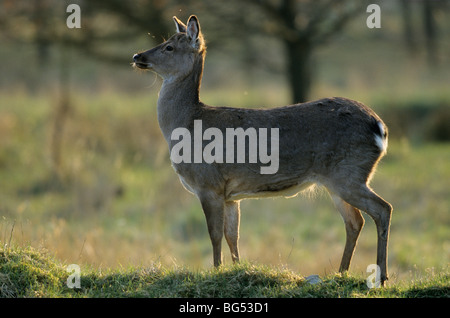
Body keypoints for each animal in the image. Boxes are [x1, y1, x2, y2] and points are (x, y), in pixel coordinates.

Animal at [132, 14, 392, 286]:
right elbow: (232, 234)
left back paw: (382, 276)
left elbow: (214, 234)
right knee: (355, 221)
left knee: (382, 209)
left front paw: (215, 270)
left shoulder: (208, 183)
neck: (187, 125)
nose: (137, 56)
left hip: (348, 173)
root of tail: (380, 128)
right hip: (338, 180)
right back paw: (340, 272)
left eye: (169, 47)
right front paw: (237, 270)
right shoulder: (230, 194)